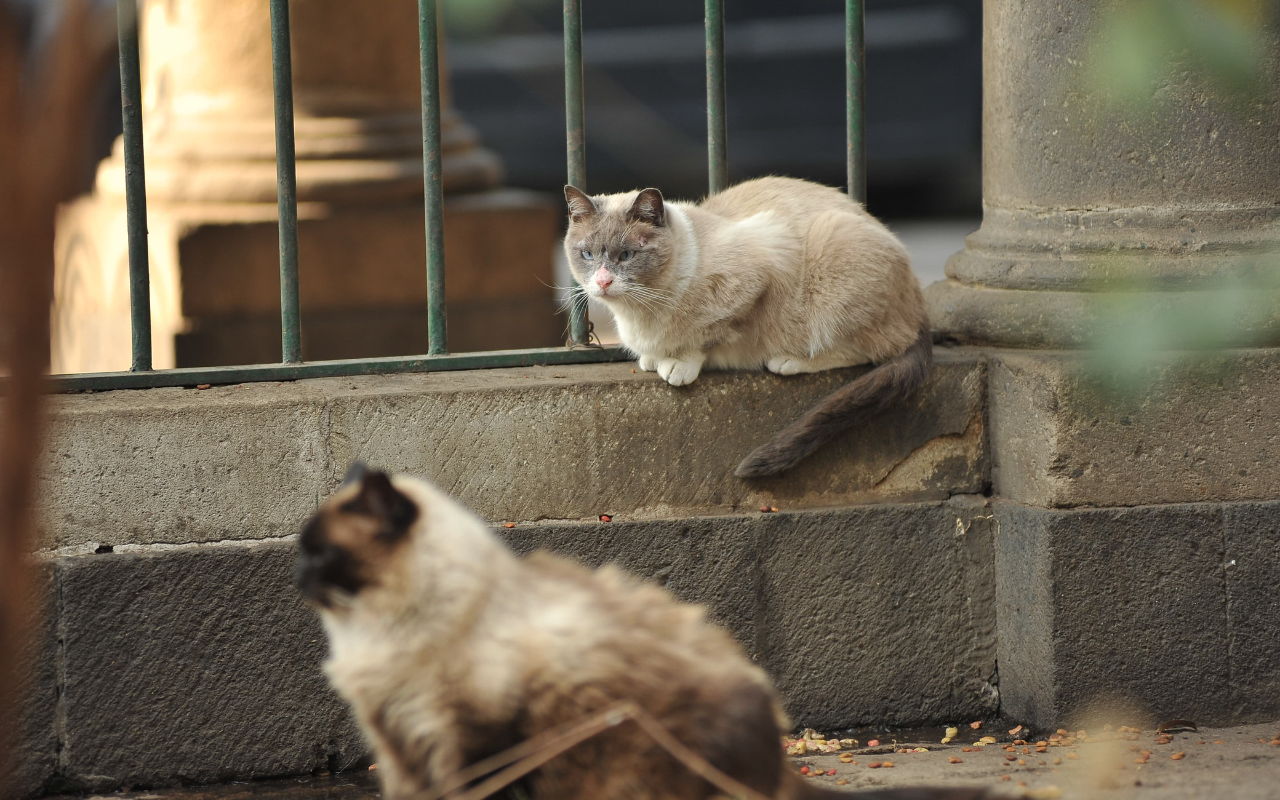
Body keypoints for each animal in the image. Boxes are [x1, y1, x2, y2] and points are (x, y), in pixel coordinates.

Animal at [299, 465, 988, 798]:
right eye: (305, 548)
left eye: (321, 553)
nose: (298, 575)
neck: (378, 635)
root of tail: (773, 758)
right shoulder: (403, 749)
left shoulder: (473, 743)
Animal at [563, 177, 931, 476]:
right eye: (587, 255)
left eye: (626, 255)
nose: (603, 282)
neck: (640, 311)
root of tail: (920, 307)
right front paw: (652, 360)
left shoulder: (761, 268)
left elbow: (705, 338)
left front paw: (678, 365)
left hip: (833, 252)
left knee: (869, 350)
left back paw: (788, 361)